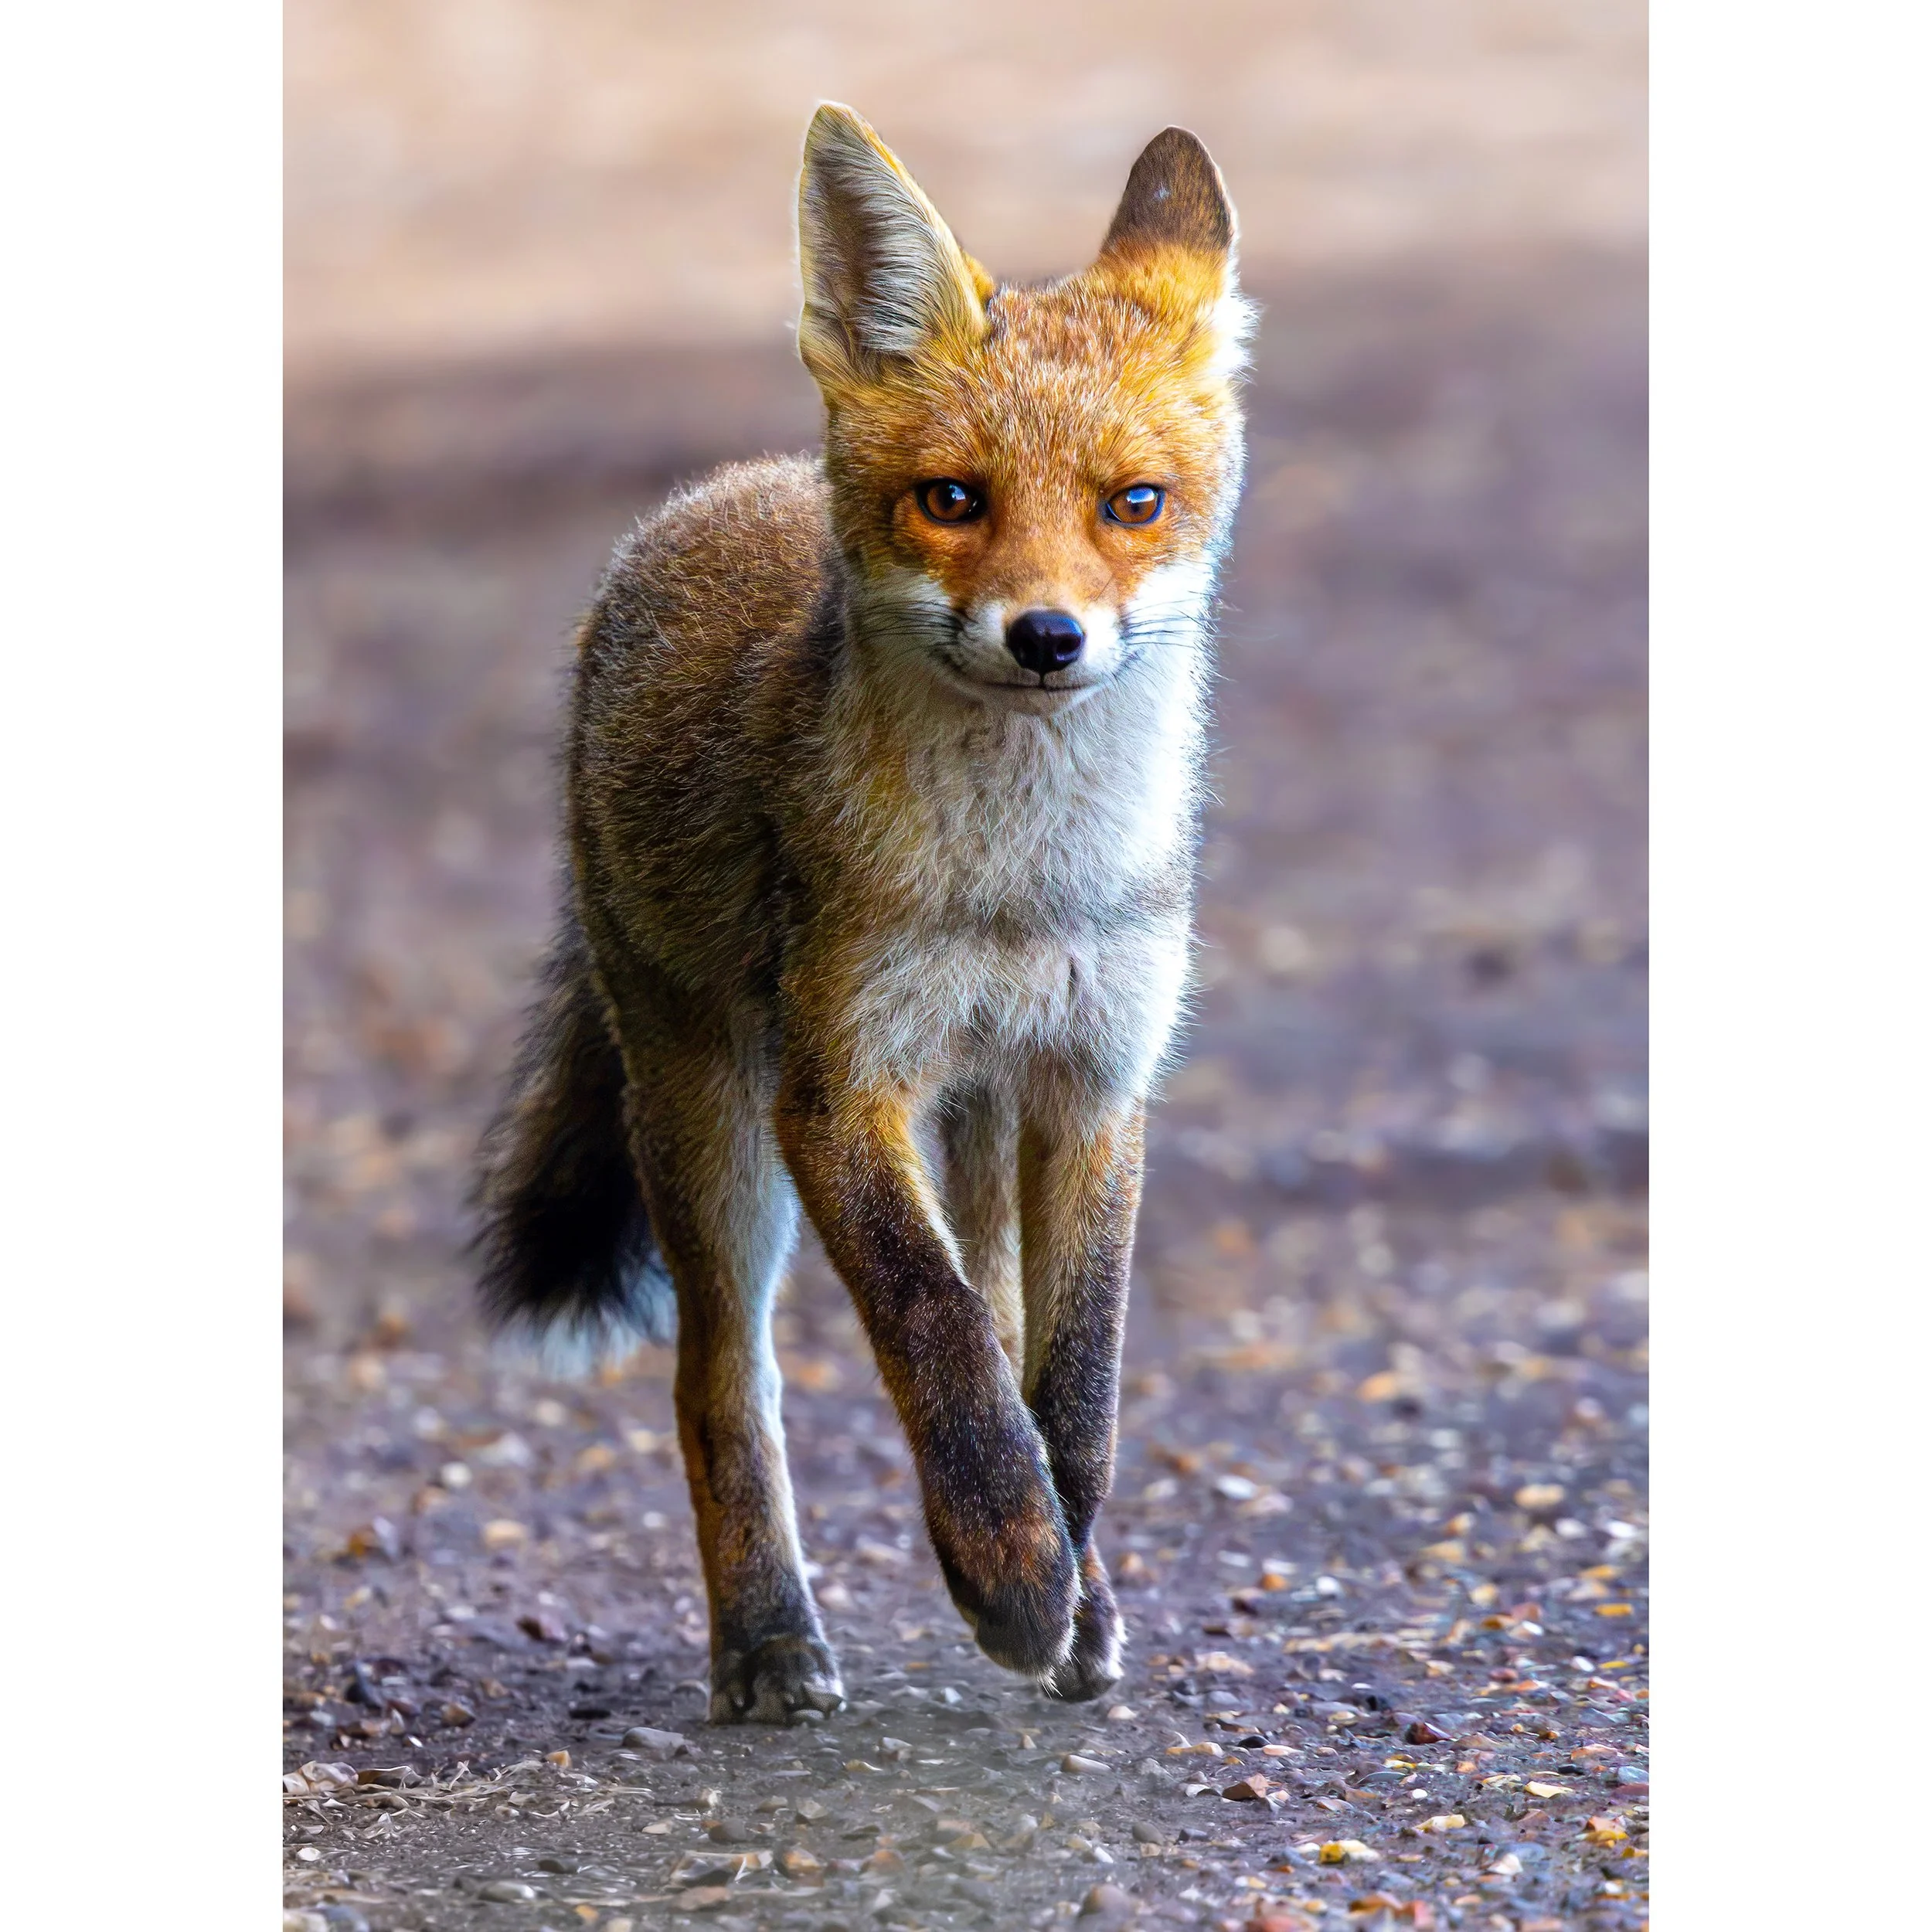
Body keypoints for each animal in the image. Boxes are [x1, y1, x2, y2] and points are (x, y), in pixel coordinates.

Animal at [474, 103, 1251, 1725]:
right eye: (953, 500)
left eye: (1132, 506)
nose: (1047, 636)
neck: (1017, 887)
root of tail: (719, 489)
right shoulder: (836, 1087)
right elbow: (933, 1331)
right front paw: (1008, 1569)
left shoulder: (1095, 1083)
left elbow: (1071, 1385)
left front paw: (1063, 1582)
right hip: (704, 1119)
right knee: (721, 1386)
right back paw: (770, 1643)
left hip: (975, 1120)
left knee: (1003, 1318)